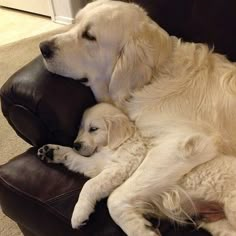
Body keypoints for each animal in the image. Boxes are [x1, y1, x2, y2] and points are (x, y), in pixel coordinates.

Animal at [40, 0, 236, 236]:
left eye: (89, 36)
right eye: (75, 22)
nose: (42, 47)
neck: (154, 77)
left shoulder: (183, 144)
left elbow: (115, 198)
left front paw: (139, 228)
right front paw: (55, 151)